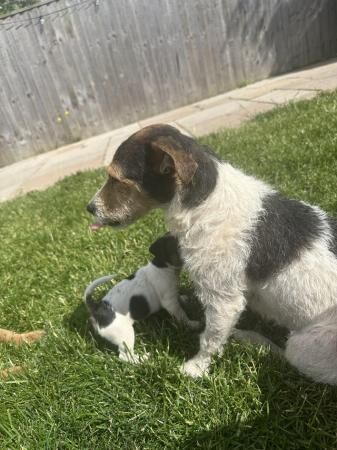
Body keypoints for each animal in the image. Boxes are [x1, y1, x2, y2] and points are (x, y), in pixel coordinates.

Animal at [84, 232, 200, 362]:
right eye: (180, 248)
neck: (163, 266)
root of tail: (97, 309)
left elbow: (179, 298)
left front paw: (184, 299)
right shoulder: (169, 302)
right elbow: (182, 315)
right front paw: (192, 324)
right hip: (125, 334)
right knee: (125, 356)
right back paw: (142, 359)